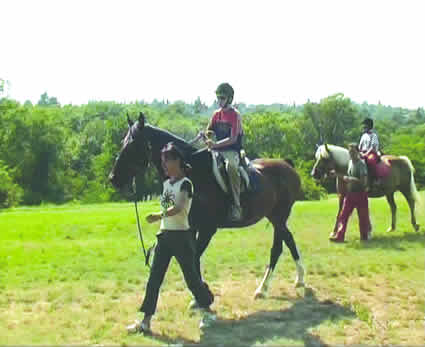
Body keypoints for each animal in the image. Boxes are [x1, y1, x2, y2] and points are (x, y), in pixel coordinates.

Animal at [107, 113, 304, 300]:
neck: (194, 172)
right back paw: (299, 280)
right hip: (276, 218)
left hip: (279, 217)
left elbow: (194, 260)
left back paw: (263, 289)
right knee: (289, 239)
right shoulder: (192, 228)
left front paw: (201, 295)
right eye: (123, 142)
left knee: (277, 248)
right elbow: (192, 261)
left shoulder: (207, 229)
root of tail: (287, 165)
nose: (113, 178)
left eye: (133, 145)